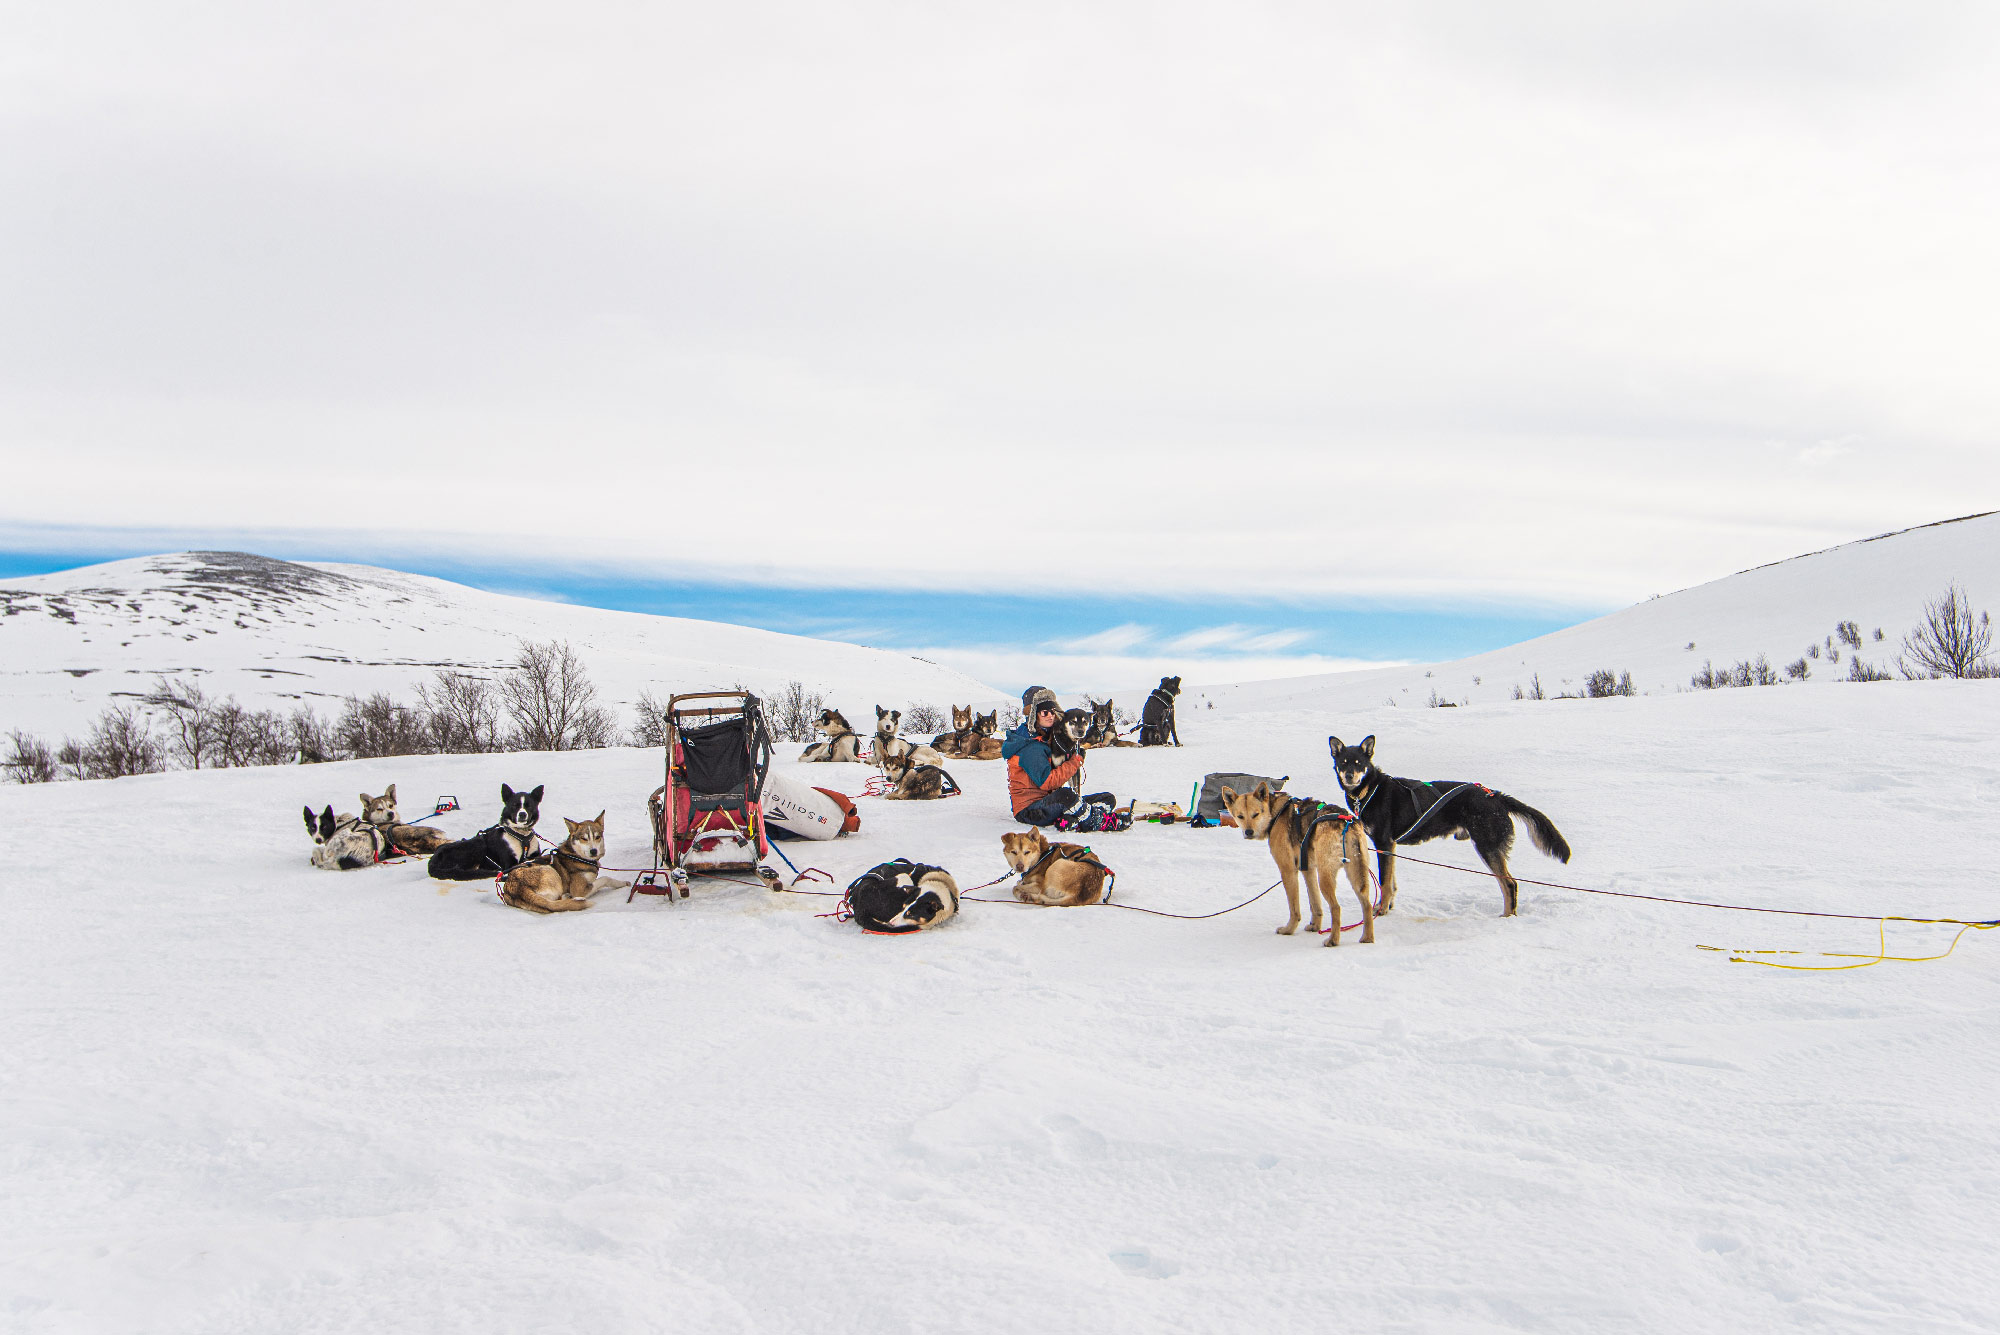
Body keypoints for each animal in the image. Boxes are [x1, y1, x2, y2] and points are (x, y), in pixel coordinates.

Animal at [1328, 739, 1576, 919]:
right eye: (1344, 762)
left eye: (1359, 763)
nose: (1349, 775)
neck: (1370, 790)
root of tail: (1496, 796)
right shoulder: (1389, 846)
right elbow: (1391, 882)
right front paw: (1386, 906)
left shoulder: (1383, 842)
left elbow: (1385, 883)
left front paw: (1380, 910)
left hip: (1487, 846)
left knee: (1509, 884)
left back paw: (1506, 918)